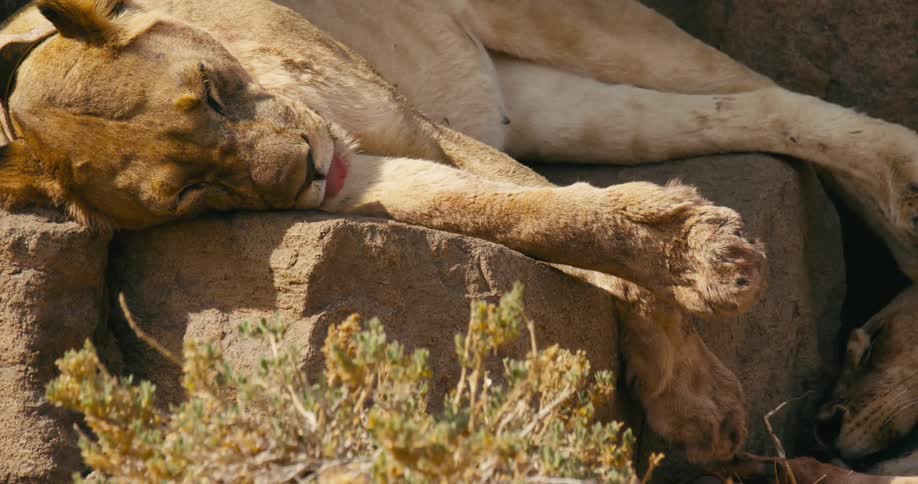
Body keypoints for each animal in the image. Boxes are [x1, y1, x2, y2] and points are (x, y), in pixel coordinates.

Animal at [1, 0, 917, 466]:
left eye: (211, 90)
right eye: (191, 191)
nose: (304, 170)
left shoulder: (415, 125)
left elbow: (545, 204)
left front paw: (701, 316)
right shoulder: (380, 176)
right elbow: (530, 214)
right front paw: (694, 334)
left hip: (578, 30)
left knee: (769, 91)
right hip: (543, 100)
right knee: (746, 112)